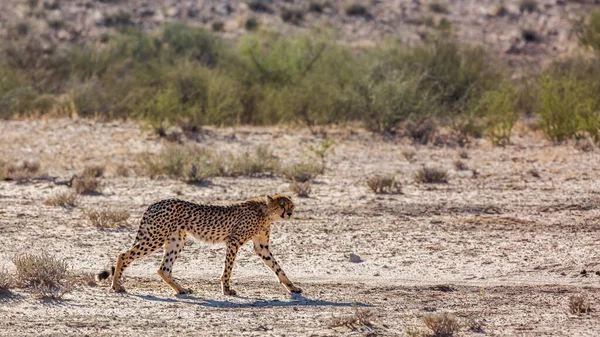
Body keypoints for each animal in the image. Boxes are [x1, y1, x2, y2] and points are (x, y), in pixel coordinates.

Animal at [99, 194, 304, 294]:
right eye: (281, 206)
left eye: (291, 206)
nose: (289, 213)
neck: (266, 212)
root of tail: (155, 203)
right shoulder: (233, 241)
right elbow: (228, 269)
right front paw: (226, 289)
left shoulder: (261, 247)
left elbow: (277, 267)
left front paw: (291, 287)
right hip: (155, 237)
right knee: (123, 255)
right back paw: (116, 286)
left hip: (177, 240)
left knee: (163, 269)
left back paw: (181, 289)